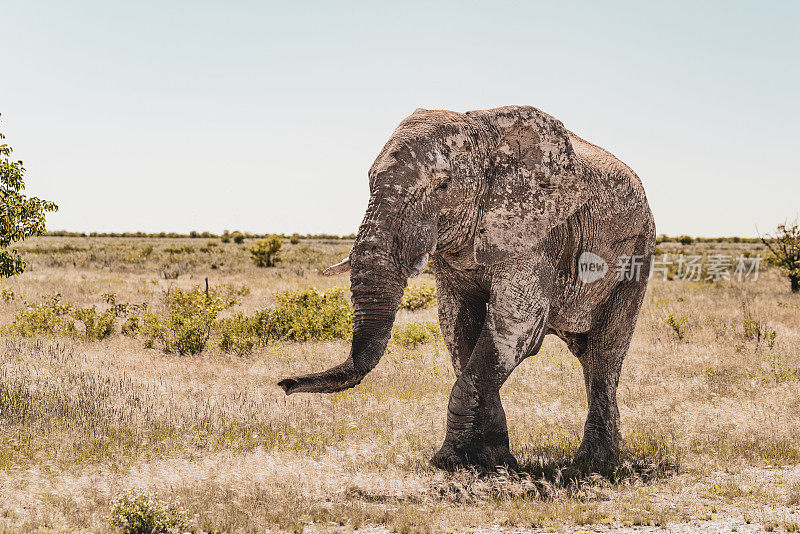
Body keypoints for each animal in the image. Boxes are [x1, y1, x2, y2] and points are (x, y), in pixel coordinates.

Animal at [278, 105, 652, 474]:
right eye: (369, 181)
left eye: (443, 185)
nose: (284, 385)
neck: (483, 133)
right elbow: (456, 325)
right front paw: (492, 460)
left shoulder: (537, 232)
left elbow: (515, 323)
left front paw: (451, 461)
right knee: (590, 357)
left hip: (638, 254)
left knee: (605, 353)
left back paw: (594, 463)